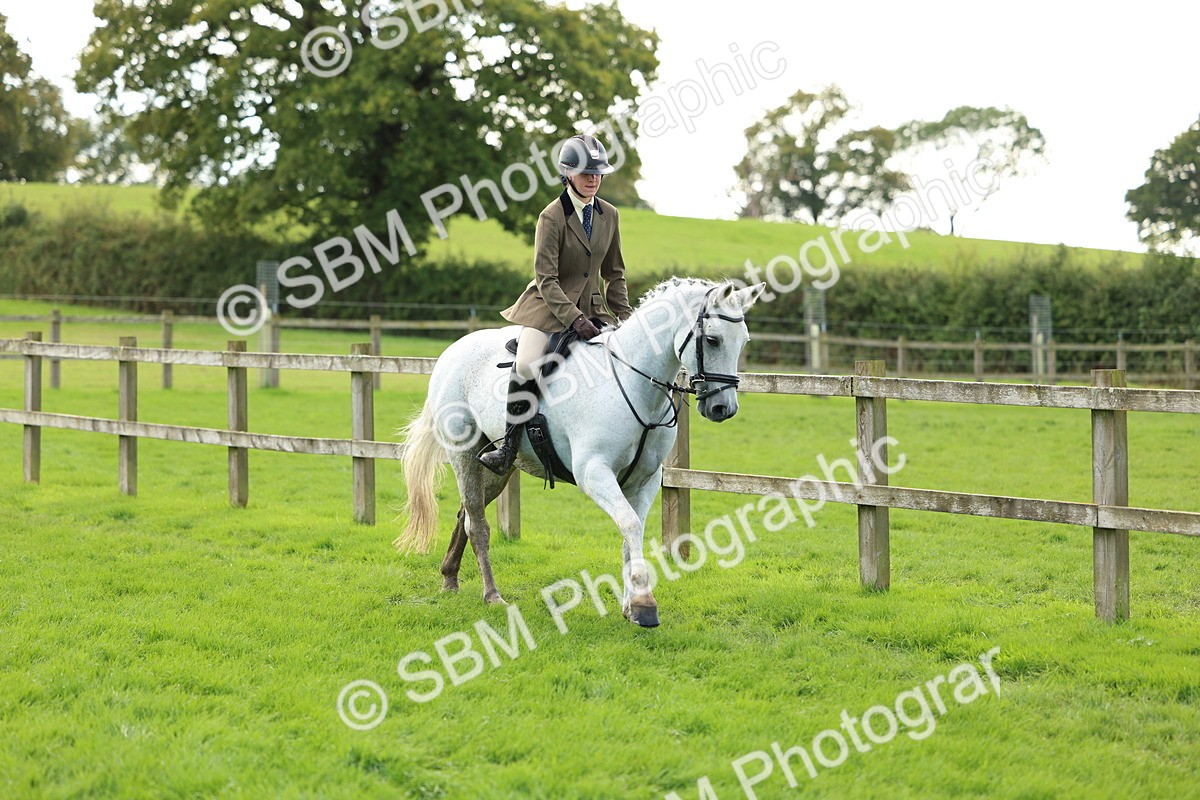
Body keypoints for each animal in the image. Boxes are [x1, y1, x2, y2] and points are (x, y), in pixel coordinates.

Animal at [395, 278, 766, 627]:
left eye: (744, 341)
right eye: (714, 340)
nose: (723, 408)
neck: (632, 382)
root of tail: (453, 351)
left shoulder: (644, 480)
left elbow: (631, 533)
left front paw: (630, 606)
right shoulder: (594, 473)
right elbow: (630, 524)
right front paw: (644, 605)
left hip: (499, 466)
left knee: (466, 514)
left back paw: (449, 577)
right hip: (463, 454)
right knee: (478, 525)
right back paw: (491, 595)